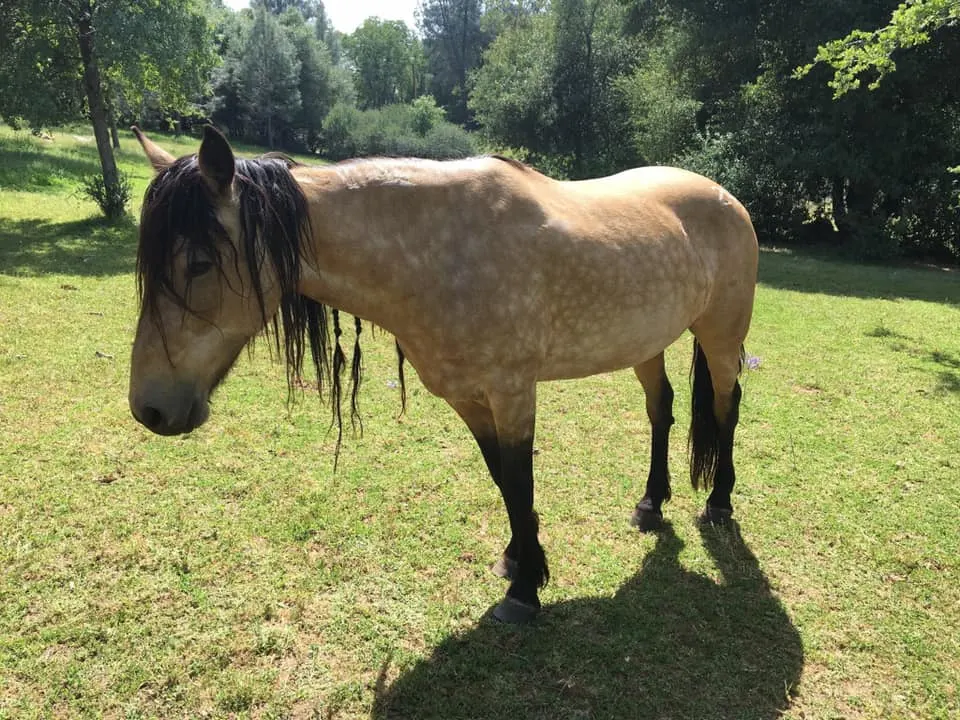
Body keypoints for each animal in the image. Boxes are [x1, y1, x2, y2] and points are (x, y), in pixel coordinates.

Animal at [125, 125, 756, 624]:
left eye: (198, 263)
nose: (149, 408)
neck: (437, 255)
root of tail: (726, 198)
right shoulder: (467, 397)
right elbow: (502, 479)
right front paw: (519, 559)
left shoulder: (511, 391)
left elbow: (520, 480)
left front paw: (525, 593)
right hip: (646, 342)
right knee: (661, 408)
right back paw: (651, 503)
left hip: (722, 337)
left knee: (726, 407)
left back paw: (719, 502)